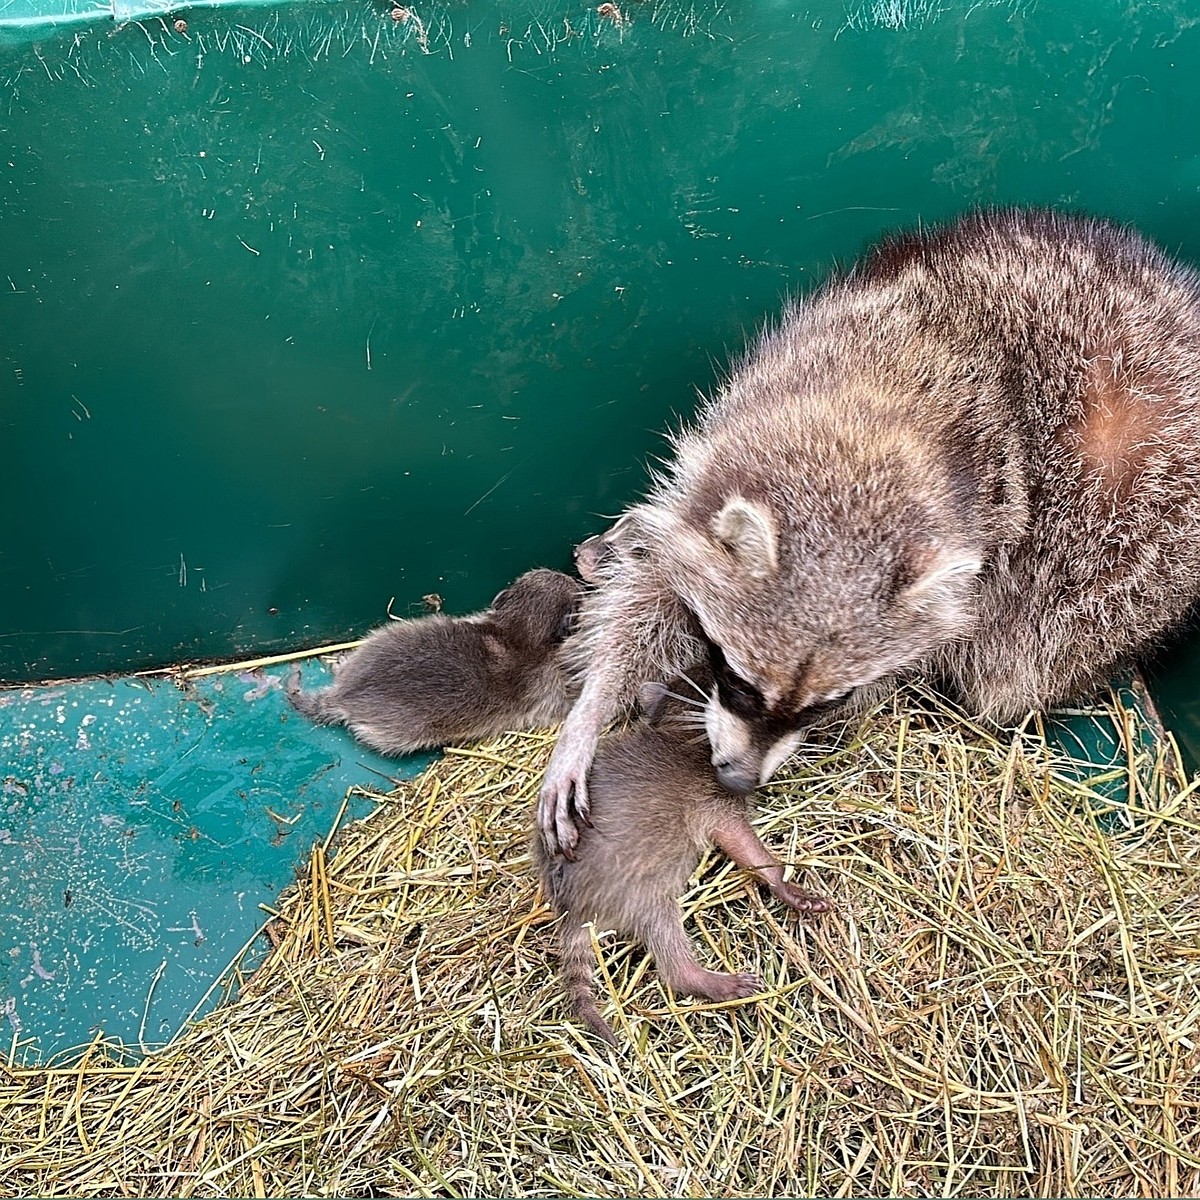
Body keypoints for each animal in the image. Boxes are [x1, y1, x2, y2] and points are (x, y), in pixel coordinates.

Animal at [530, 662, 830, 1046]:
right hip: (638, 888)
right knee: (666, 940)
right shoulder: (712, 800)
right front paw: (779, 881)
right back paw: (701, 978)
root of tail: (571, 910)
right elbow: (741, 842)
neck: (678, 727)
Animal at [540, 211, 1200, 859]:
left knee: (1022, 658)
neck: (876, 430)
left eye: (828, 701)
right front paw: (592, 710)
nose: (741, 781)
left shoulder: (987, 547)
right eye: (741, 682)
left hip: (1133, 561)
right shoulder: (736, 430)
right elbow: (655, 582)